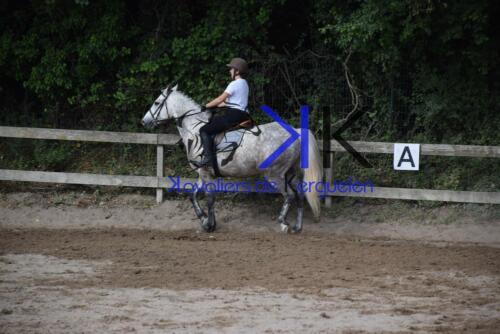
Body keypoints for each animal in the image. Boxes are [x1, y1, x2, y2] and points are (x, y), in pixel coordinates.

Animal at [142, 85, 320, 234]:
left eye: (157, 103)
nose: (144, 121)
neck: (194, 129)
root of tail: (296, 132)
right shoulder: (203, 173)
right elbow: (193, 195)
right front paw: (204, 219)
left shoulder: (205, 173)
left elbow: (210, 198)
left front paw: (209, 224)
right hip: (291, 174)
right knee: (299, 196)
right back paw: (297, 227)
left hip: (275, 174)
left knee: (289, 195)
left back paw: (283, 221)